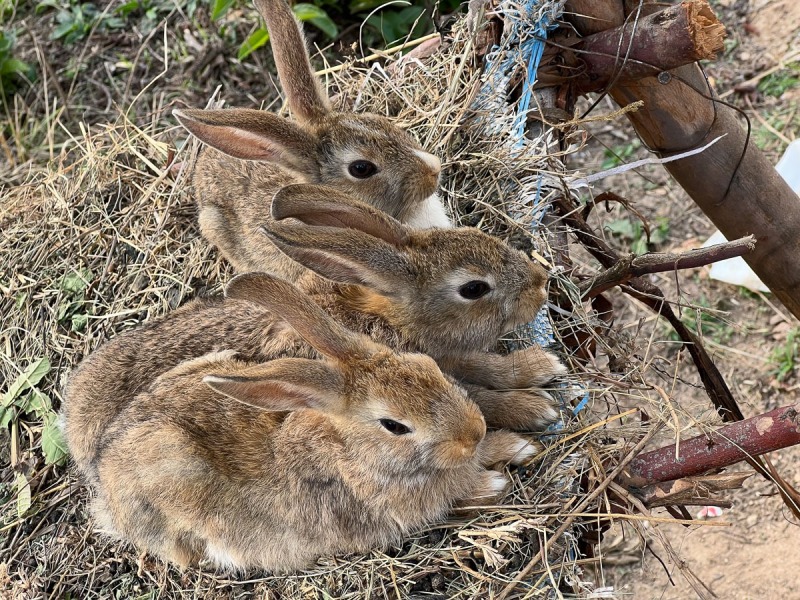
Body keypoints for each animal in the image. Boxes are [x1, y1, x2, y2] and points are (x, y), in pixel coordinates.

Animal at [70, 272, 536, 572]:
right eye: (395, 426)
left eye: (425, 364)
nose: (473, 431)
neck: (351, 456)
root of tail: (106, 477)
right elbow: (460, 494)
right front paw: (496, 478)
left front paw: (516, 447)